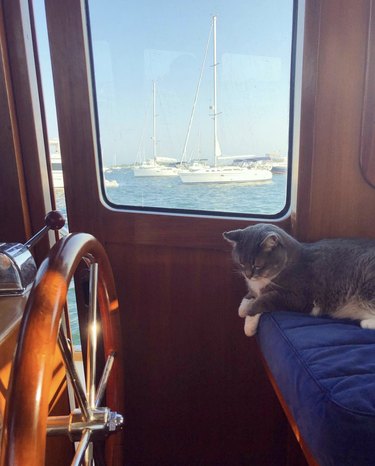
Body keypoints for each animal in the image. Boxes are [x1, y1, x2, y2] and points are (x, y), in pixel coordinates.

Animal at [225, 224, 375, 336]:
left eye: (257, 265)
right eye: (241, 263)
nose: (248, 275)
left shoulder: (298, 297)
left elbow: (263, 300)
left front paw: (248, 324)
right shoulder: (254, 289)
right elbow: (248, 298)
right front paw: (243, 308)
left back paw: (366, 323)